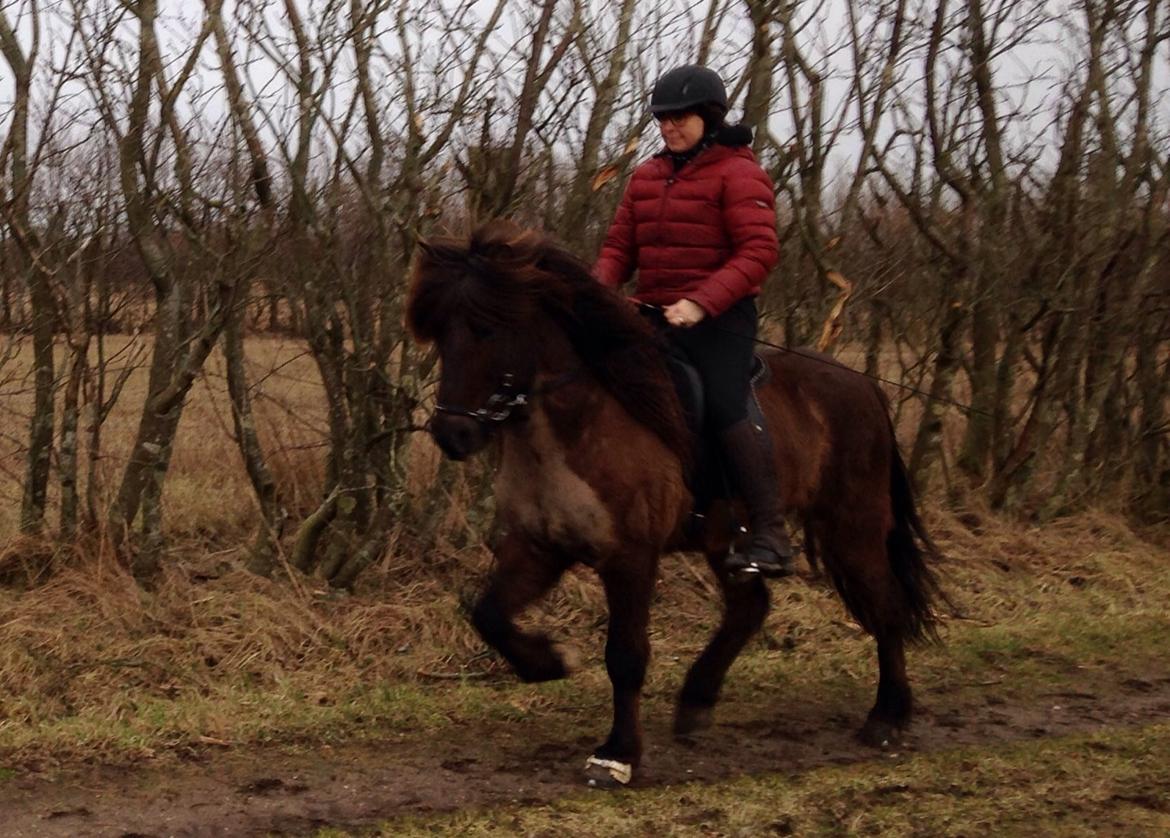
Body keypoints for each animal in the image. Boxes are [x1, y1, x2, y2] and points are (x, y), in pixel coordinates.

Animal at [409, 218, 940, 791]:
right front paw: (549, 662)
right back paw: (696, 702)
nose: (453, 435)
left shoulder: (630, 558)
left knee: (886, 606)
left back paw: (886, 717)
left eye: (487, 329)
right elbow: (489, 615)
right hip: (729, 540)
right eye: (441, 334)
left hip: (851, 526)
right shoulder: (538, 547)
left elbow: (625, 655)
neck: (578, 423)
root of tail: (863, 384)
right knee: (751, 608)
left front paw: (616, 755)